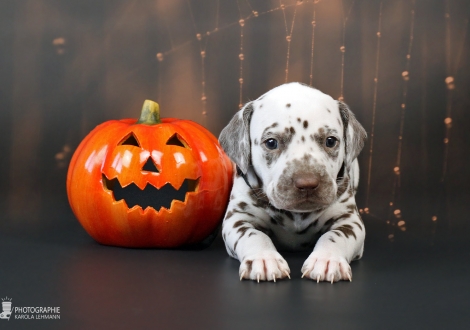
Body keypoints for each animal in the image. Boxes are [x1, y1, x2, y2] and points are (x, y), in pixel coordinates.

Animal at [218, 82, 368, 284]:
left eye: (330, 141)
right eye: (271, 142)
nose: (307, 183)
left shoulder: (350, 220)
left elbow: (335, 236)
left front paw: (328, 259)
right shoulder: (237, 218)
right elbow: (253, 235)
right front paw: (264, 258)